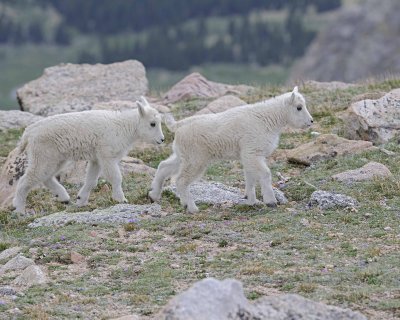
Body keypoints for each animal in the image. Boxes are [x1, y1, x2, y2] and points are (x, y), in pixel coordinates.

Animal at [13, 96, 164, 214]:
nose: (162, 140)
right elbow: (115, 177)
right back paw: (19, 210)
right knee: (28, 179)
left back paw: (64, 197)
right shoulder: (106, 155)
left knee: (46, 177)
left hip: (56, 158)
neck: (124, 127)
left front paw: (81, 200)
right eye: (152, 124)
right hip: (43, 154)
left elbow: (92, 180)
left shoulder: (96, 158)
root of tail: (28, 133)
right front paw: (121, 199)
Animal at [149, 86, 312, 214]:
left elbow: (250, 177)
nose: (311, 121)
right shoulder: (252, 152)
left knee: (163, 166)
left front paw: (251, 200)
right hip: (196, 159)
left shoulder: (248, 155)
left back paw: (154, 195)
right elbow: (265, 174)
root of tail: (178, 125)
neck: (268, 118)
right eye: (299, 107)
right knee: (181, 180)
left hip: (183, 155)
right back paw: (192, 207)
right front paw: (270, 201)